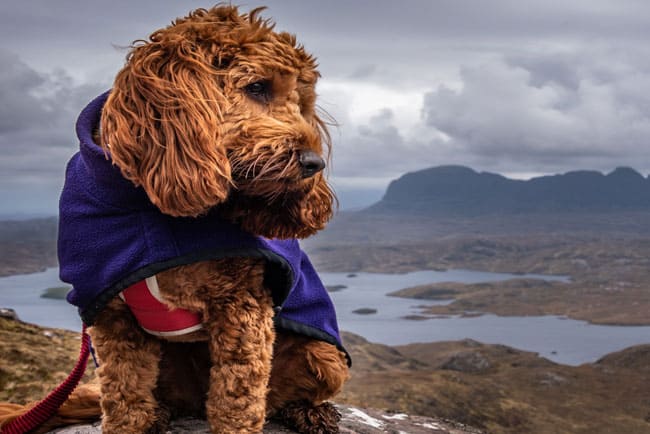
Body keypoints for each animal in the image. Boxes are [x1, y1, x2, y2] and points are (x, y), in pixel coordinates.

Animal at [1, 5, 350, 434]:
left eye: (302, 104)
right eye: (257, 87)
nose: (314, 163)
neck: (149, 205)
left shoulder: (241, 307)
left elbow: (238, 401)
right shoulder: (111, 316)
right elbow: (124, 397)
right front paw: (133, 421)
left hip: (325, 355)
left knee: (282, 396)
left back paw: (310, 411)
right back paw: (161, 413)